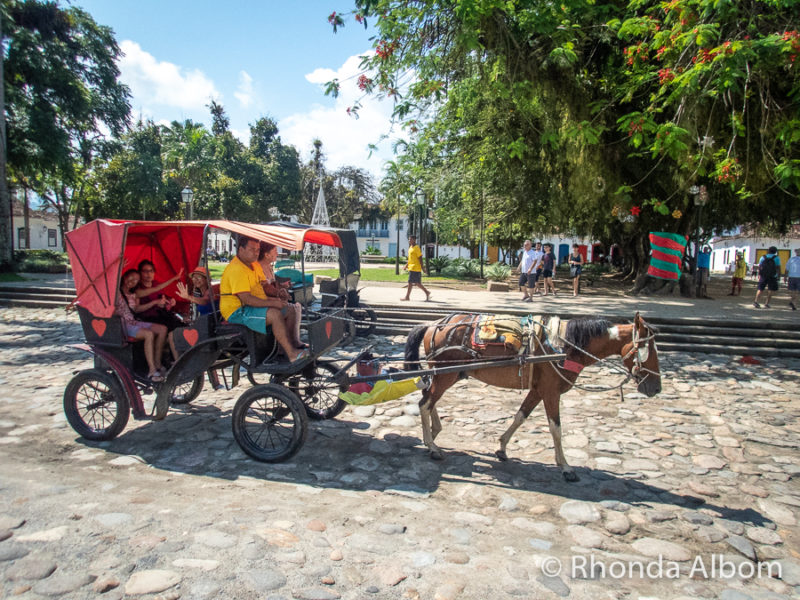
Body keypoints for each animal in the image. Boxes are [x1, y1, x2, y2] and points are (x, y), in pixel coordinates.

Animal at [406, 312, 664, 480]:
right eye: (649, 349)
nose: (656, 388)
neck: (567, 346)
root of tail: (434, 324)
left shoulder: (538, 390)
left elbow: (521, 416)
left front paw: (502, 448)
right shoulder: (551, 391)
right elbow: (555, 428)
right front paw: (566, 467)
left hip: (445, 374)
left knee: (428, 398)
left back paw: (434, 432)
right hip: (445, 375)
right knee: (425, 403)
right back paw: (432, 446)